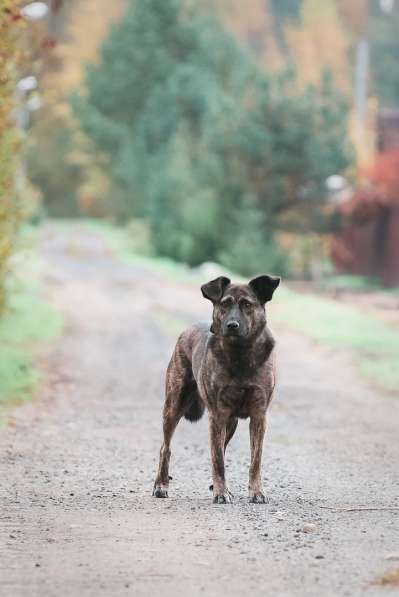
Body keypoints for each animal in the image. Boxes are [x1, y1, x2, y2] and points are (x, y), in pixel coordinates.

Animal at [153, 274, 282, 502]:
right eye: (225, 304)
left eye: (247, 305)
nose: (232, 325)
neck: (240, 353)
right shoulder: (217, 415)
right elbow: (218, 460)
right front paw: (221, 493)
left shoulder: (259, 415)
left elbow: (255, 460)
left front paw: (256, 492)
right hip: (174, 406)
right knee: (165, 448)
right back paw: (161, 485)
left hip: (230, 423)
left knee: (221, 447)